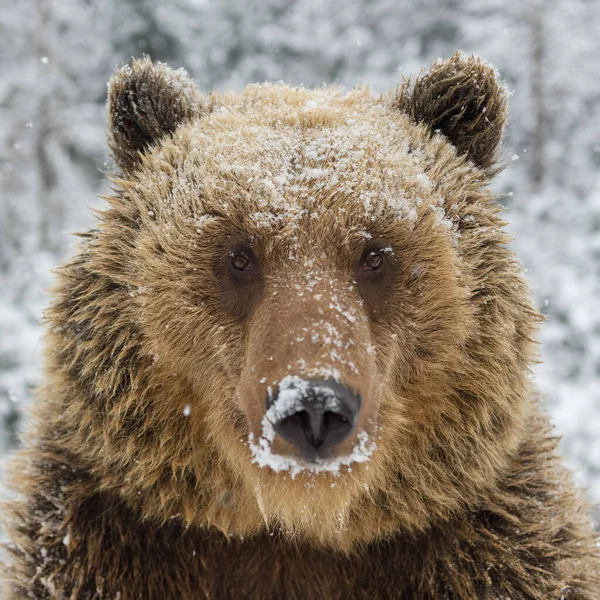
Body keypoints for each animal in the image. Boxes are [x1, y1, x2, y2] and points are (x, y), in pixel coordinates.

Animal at [3, 54, 600, 596]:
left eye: (375, 255)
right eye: (239, 254)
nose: (313, 407)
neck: (296, 528)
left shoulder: (491, 547)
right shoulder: (100, 543)